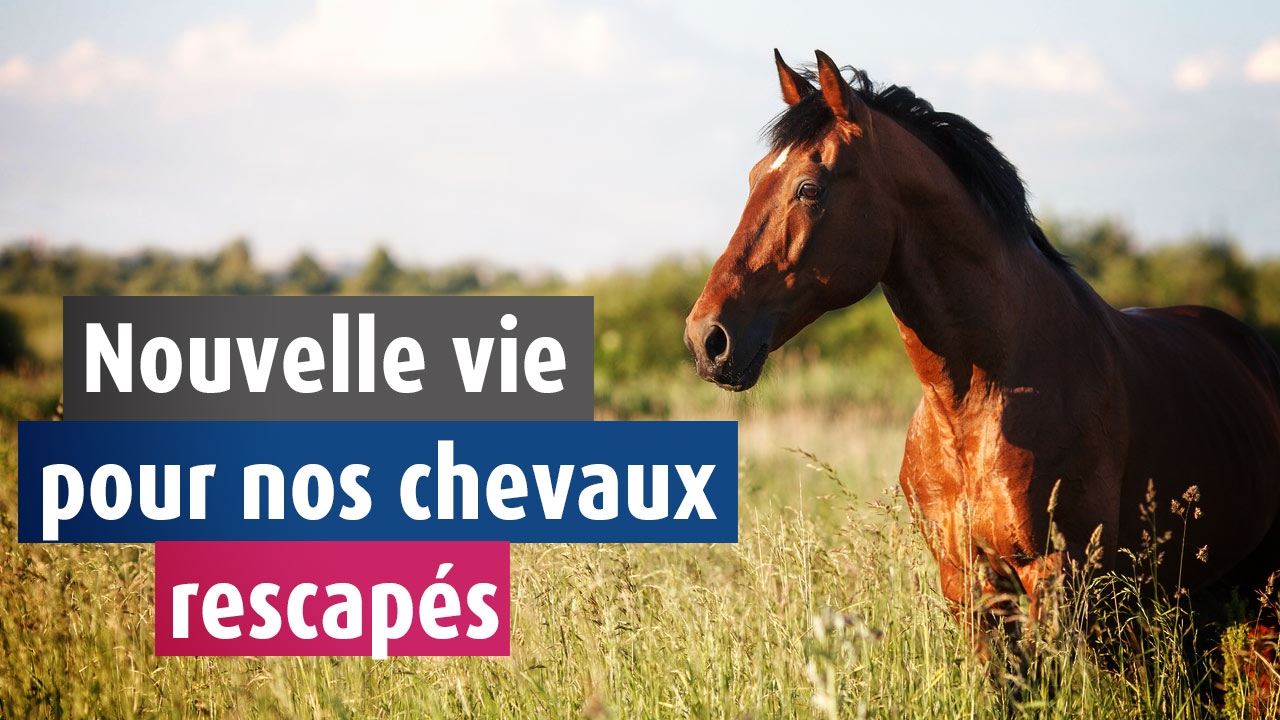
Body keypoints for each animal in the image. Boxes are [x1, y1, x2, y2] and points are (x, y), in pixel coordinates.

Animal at [684, 49, 1280, 685]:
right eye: (754, 178)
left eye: (808, 188)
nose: (707, 338)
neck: (983, 402)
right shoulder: (968, 585)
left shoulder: (1060, 580)